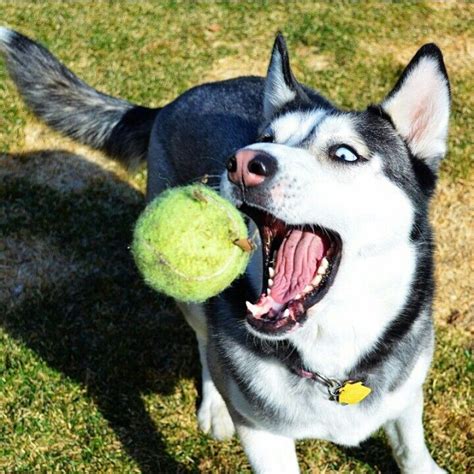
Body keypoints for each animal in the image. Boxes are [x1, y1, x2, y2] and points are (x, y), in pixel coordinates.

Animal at [0, 27, 452, 472]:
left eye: (344, 153)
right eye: (267, 139)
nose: (243, 162)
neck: (333, 359)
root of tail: (176, 100)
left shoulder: (407, 387)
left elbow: (410, 444)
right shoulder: (261, 432)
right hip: (193, 304)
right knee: (205, 345)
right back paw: (214, 406)